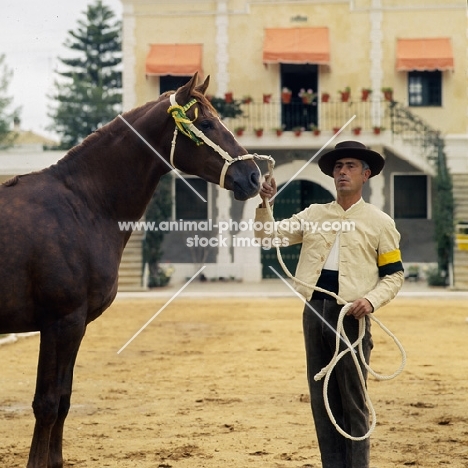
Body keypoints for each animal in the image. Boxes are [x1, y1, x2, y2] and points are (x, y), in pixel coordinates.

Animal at [0, 75, 262, 466]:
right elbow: (46, 404)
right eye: (205, 124)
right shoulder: (59, 322)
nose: (254, 176)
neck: (84, 205)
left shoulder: (75, 326)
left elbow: (63, 399)